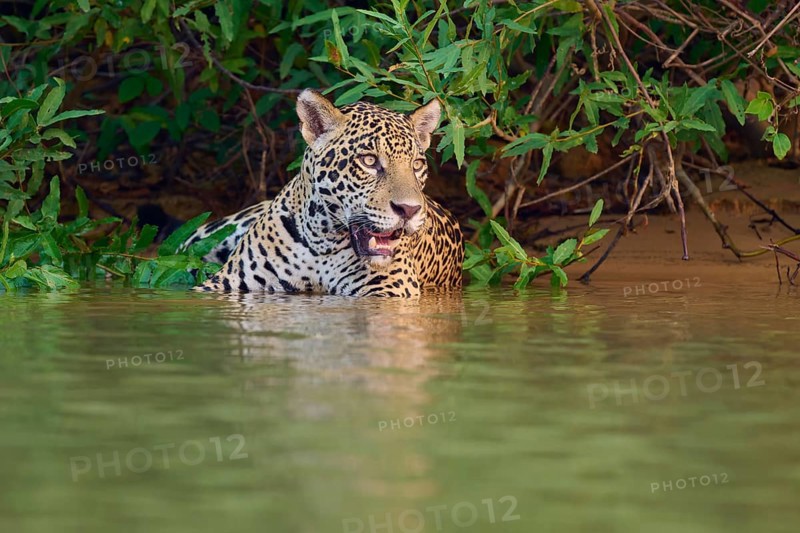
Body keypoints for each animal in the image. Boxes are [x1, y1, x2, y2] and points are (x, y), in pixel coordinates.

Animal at [182, 89, 463, 297]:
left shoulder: (391, 289)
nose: (409, 210)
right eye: (369, 161)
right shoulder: (221, 284)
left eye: (416, 165)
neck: (322, 241)